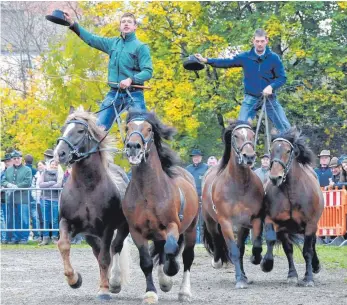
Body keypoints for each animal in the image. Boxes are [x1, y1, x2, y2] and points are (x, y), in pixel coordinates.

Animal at [54, 105, 130, 298]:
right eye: (63, 128)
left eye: (80, 131)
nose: (60, 153)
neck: (87, 188)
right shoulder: (66, 222)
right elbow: (63, 245)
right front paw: (74, 279)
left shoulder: (107, 227)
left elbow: (105, 257)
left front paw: (104, 290)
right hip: (90, 234)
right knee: (99, 252)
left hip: (123, 227)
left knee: (115, 248)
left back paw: (113, 282)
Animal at [123, 111, 198, 304]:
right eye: (128, 128)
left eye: (149, 129)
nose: (133, 146)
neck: (148, 193)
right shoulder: (136, 231)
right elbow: (146, 262)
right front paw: (151, 292)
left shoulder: (172, 225)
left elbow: (171, 250)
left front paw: (169, 274)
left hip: (191, 229)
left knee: (187, 257)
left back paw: (184, 292)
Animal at [203, 119, 266, 288]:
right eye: (236, 135)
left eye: (252, 134)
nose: (249, 156)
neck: (239, 185)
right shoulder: (226, 223)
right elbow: (234, 250)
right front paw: (239, 280)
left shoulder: (252, 220)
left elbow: (254, 245)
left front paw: (254, 261)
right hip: (211, 221)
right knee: (216, 240)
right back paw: (217, 261)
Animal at [262, 127, 324, 286]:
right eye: (271, 150)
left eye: (288, 150)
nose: (275, 177)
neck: (291, 193)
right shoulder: (276, 222)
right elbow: (279, 245)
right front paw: (268, 264)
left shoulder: (310, 224)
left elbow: (307, 250)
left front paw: (308, 278)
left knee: (313, 244)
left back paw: (315, 266)